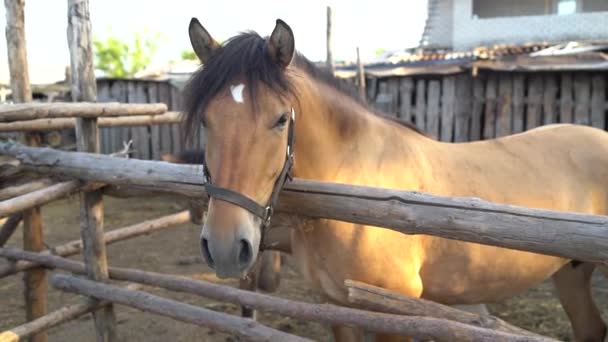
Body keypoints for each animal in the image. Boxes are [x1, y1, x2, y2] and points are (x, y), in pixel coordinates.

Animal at [183, 16, 608, 342]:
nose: (224, 246)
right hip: (571, 273)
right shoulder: (337, 307)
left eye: (280, 119)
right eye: (206, 120)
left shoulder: (395, 311)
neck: (353, 188)